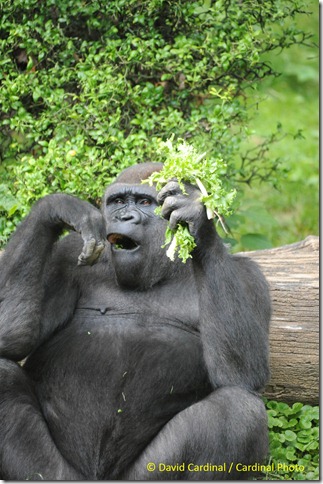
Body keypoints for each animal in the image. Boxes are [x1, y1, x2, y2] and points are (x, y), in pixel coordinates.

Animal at [0, 164, 270, 480]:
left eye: (144, 202)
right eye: (117, 202)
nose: (124, 218)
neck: (164, 269)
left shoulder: (248, 275)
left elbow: (242, 374)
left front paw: (197, 219)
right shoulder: (64, 258)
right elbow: (11, 337)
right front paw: (58, 207)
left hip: (143, 474)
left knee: (238, 409)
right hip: (59, 474)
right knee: (5, 377)